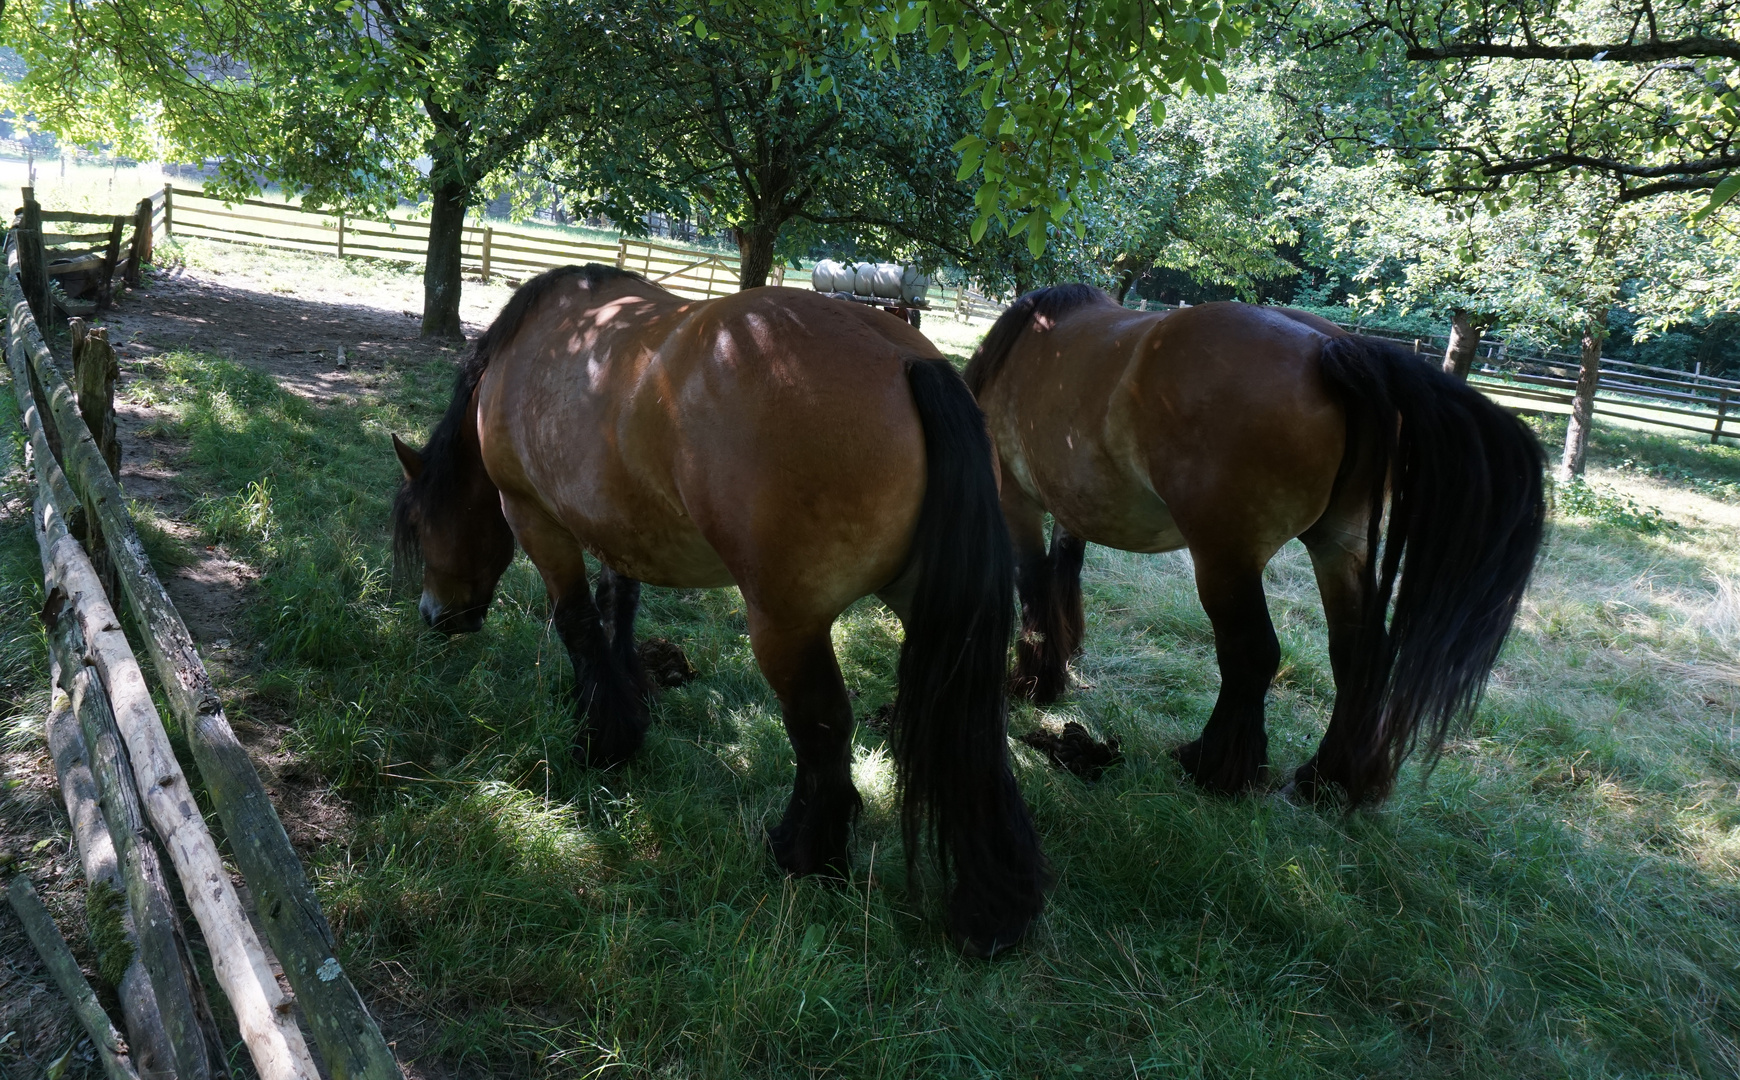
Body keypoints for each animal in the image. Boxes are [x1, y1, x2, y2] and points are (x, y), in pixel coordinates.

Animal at [394, 266, 1044, 946]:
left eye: (421, 520)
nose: (435, 616)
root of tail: (907, 360)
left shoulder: (535, 517)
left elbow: (577, 624)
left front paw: (604, 738)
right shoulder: (618, 525)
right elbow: (617, 604)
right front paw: (630, 697)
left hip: (786, 626)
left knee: (822, 728)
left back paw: (804, 851)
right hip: (934, 618)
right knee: (968, 730)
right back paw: (997, 896)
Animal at [967, 286, 1552, 800]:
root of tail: (1330, 349)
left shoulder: (1017, 500)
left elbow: (1035, 585)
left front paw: (1036, 682)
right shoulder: (1075, 507)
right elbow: (1062, 575)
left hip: (1225, 558)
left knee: (1251, 653)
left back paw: (1214, 766)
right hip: (1340, 549)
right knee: (1358, 652)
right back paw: (1330, 779)